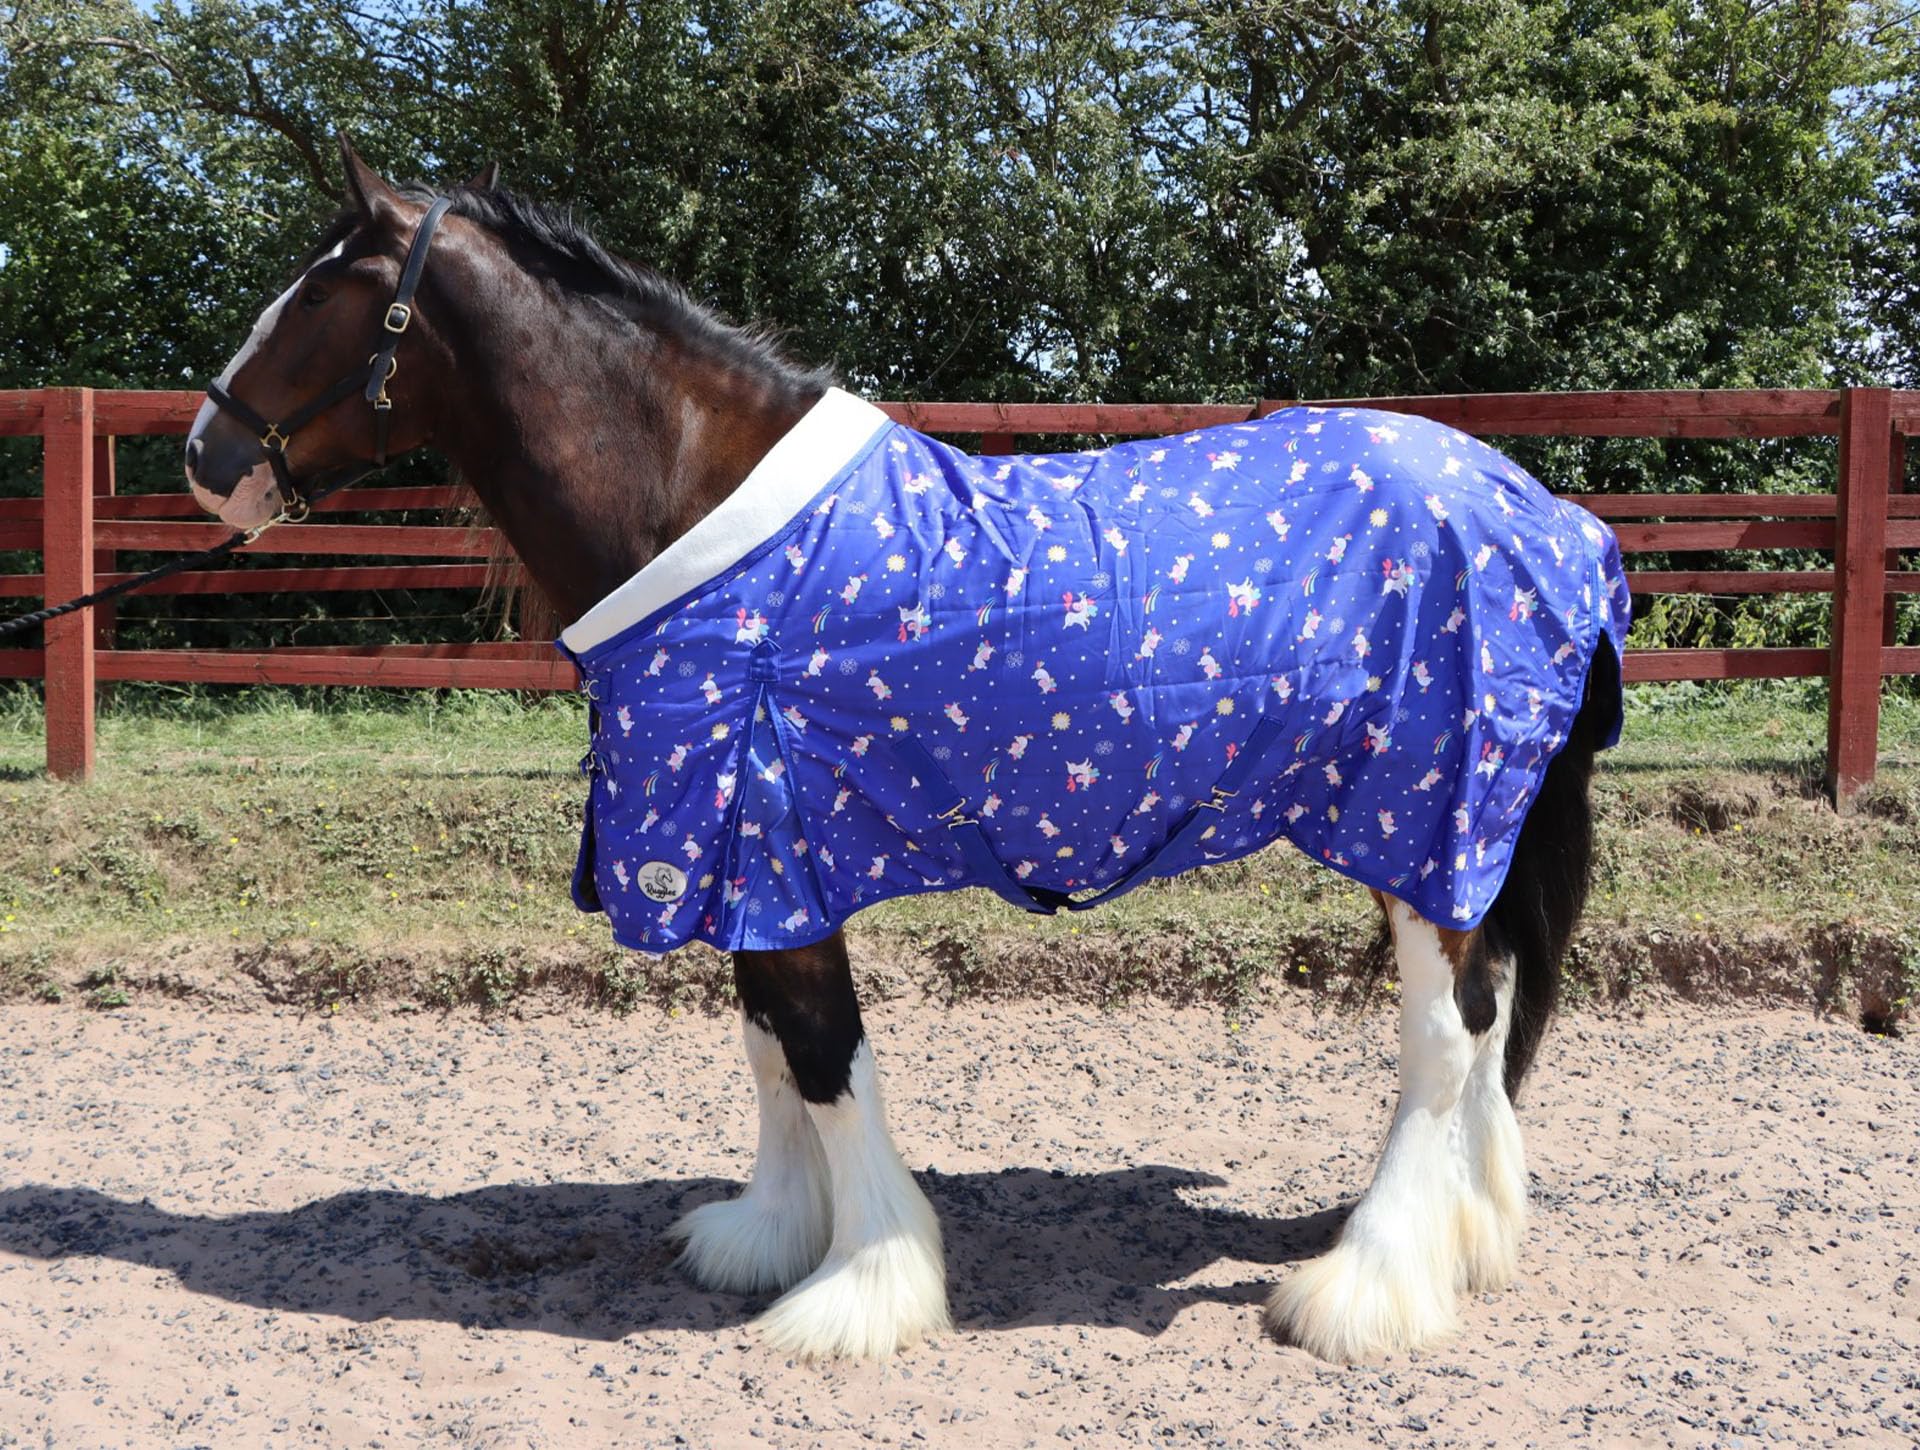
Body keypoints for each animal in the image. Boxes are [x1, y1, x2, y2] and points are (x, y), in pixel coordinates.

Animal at [183, 139, 1626, 1365]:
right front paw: (767, 1233)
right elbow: (767, 1045)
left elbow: (823, 1054)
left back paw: (1366, 1285)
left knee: (1446, 1031)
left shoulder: (769, 835)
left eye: (324, 296)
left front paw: (863, 1288)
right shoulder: (742, 858)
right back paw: (1468, 1236)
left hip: (1421, 819)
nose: (205, 456)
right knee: (1490, 1017)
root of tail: (1542, 515)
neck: (711, 529)